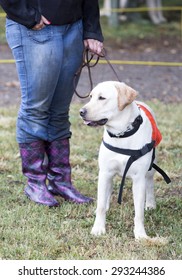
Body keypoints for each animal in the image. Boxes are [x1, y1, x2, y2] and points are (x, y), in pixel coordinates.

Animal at [80, 80, 171, 238]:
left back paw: (150, 204)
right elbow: (101, 205)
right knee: (107, 192)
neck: (121, 134)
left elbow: (139, 213)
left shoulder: (139, 178)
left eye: (102, 98)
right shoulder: (105, 172)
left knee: (150, 184)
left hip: (151, 168)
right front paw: (98, 228)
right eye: (90, 96)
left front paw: (140, 234)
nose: (81, 112)